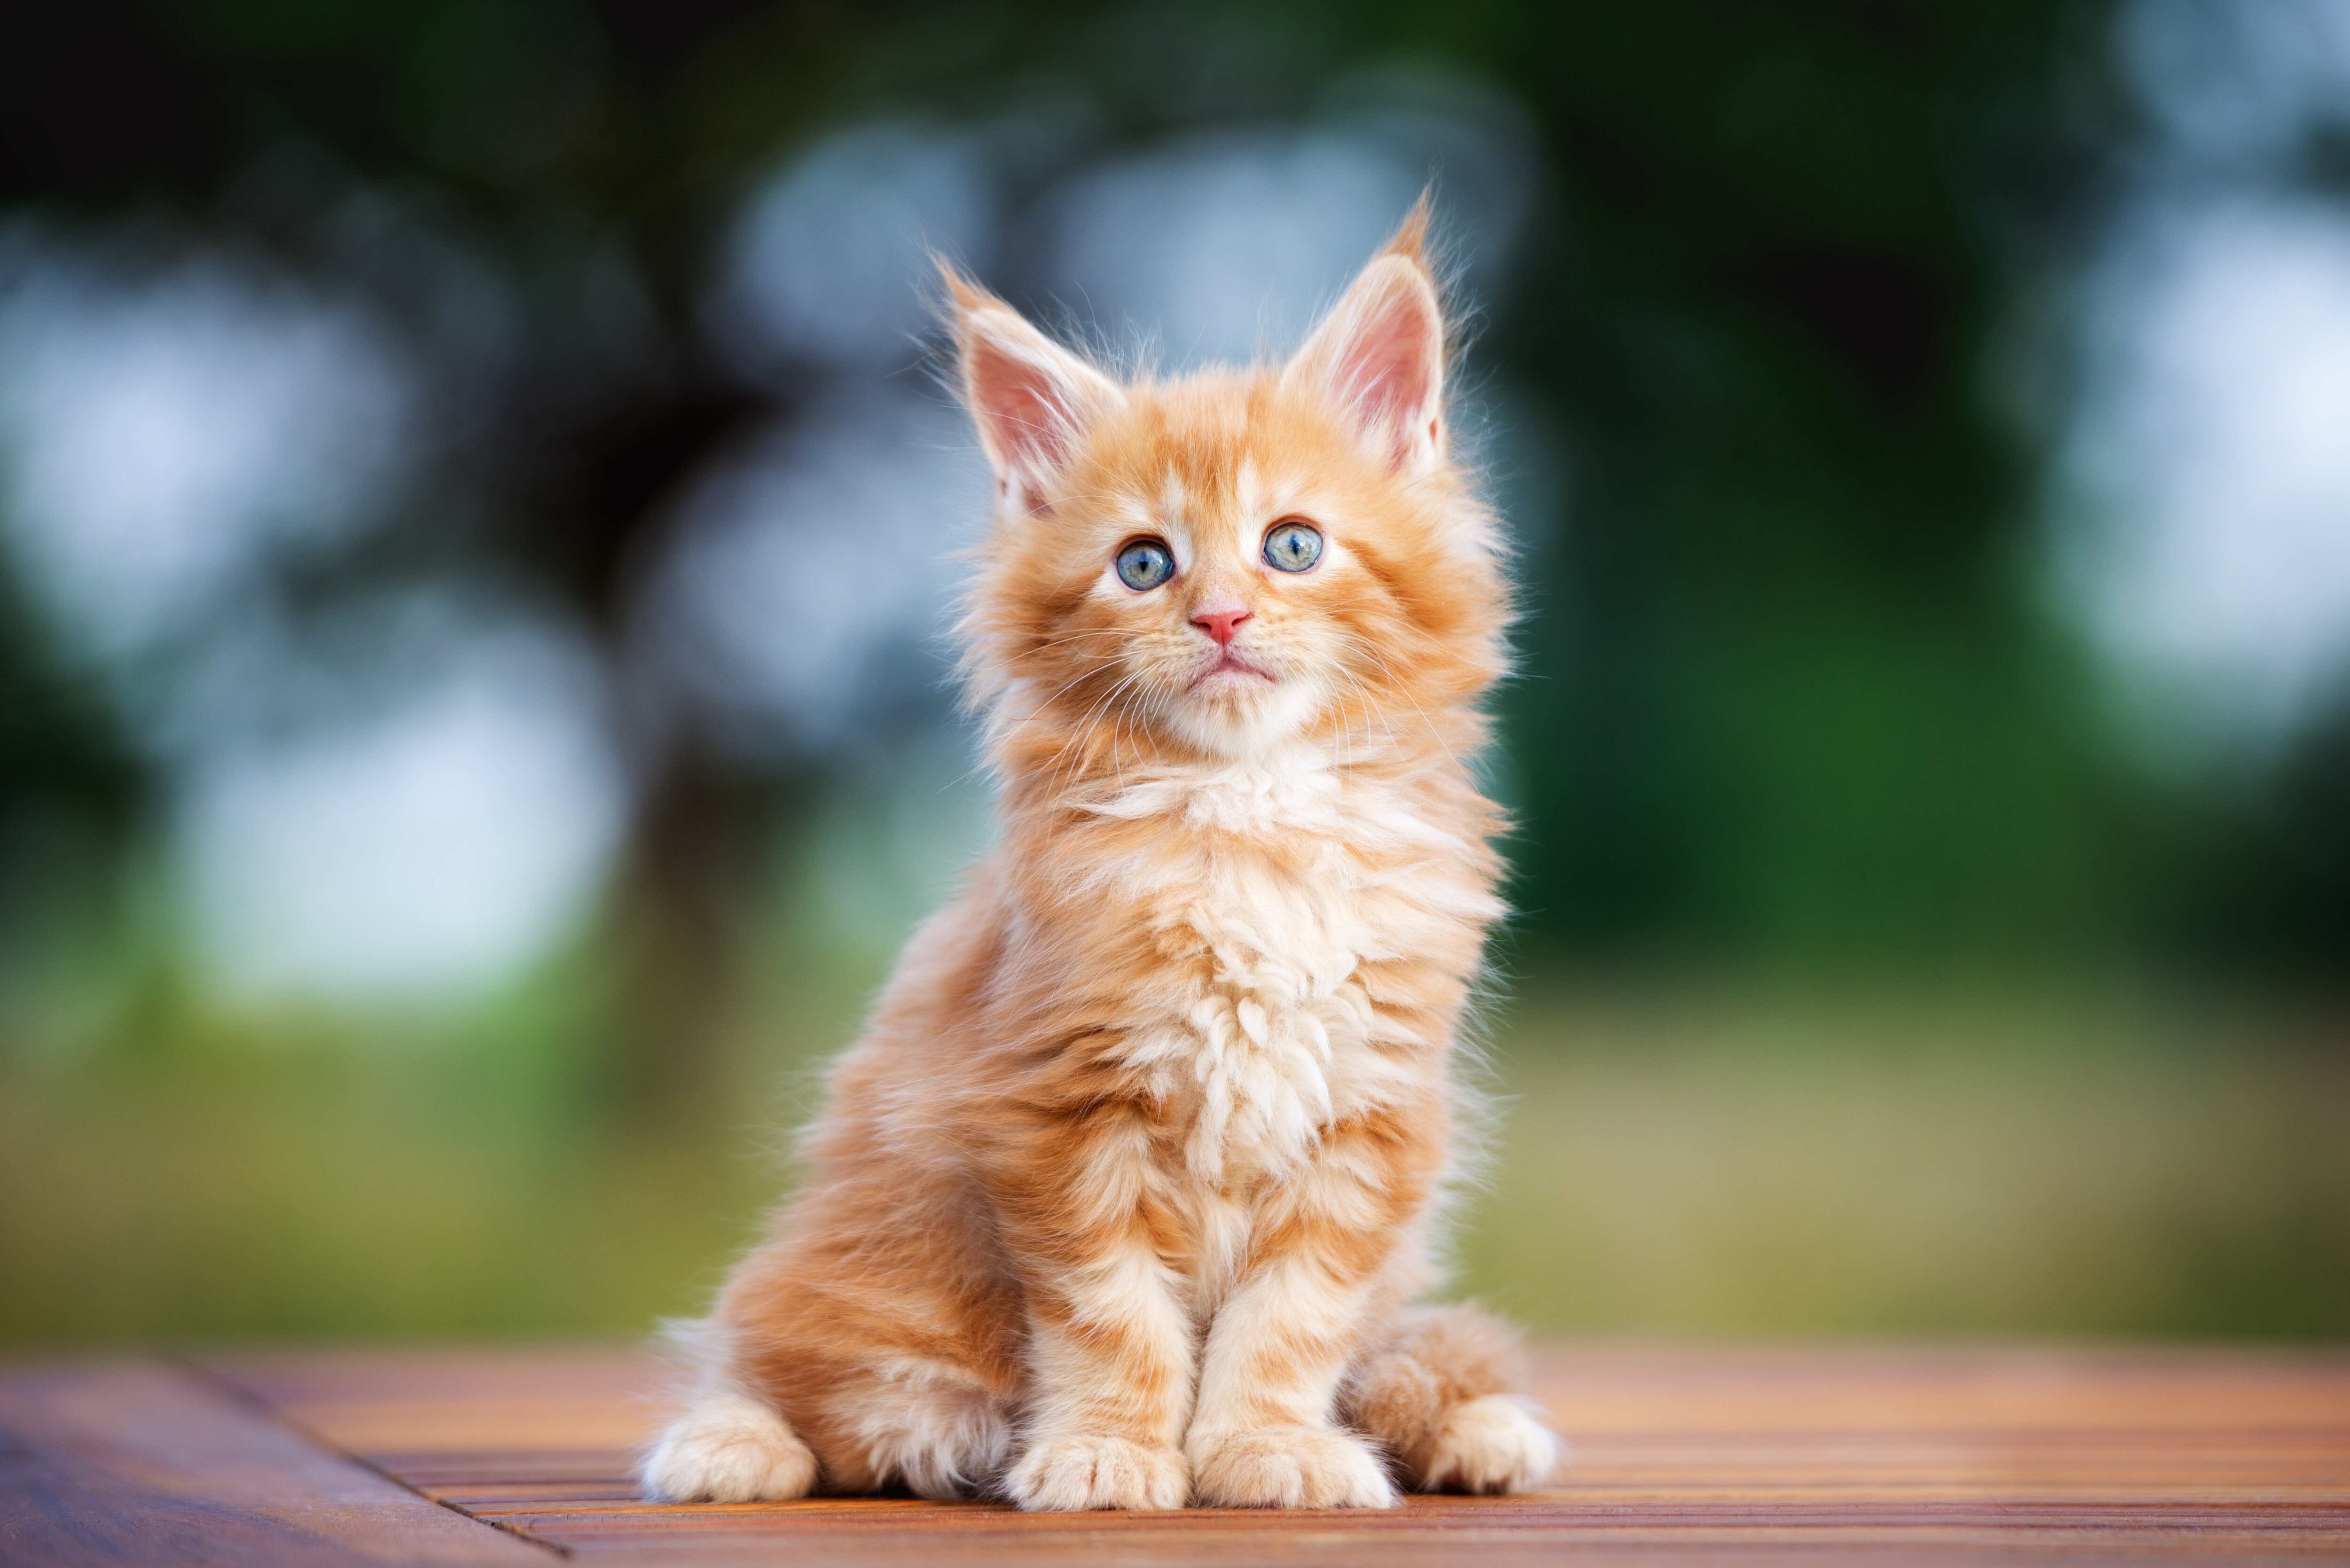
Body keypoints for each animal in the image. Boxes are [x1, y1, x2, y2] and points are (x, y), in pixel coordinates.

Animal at [644, 205, 1560, 1504]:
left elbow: (1291, 1319)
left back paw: (1467, 1427)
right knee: (791, 1383)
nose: (1220, 616)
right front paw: (1112, 1451)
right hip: (864, 1315)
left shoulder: (1369, 1117)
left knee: (1399, 1353)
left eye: (1291, 546)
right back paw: (729, 1442)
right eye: (1143, 564)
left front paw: (1263, 1445)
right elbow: (1112, 1315)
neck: (1249, 814)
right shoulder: (1060, 1113)